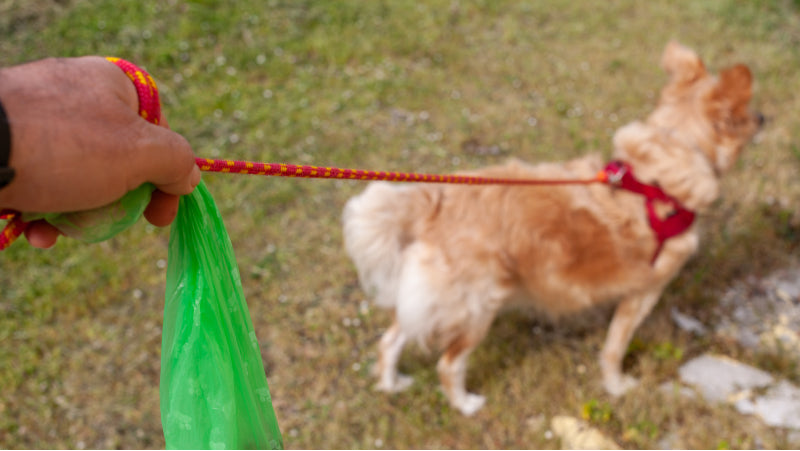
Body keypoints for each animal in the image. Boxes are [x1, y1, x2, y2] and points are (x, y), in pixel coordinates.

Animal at [342, 42, 764, 416]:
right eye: (749, 111)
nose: (765, 117)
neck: (663, 166)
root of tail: (431, 201)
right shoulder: (644, 292)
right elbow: (615, 347)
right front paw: (617, 386)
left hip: (433, 299)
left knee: (391, 339)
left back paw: (392, 384)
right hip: (477, 307)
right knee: (448, 364)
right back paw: (465, 405)